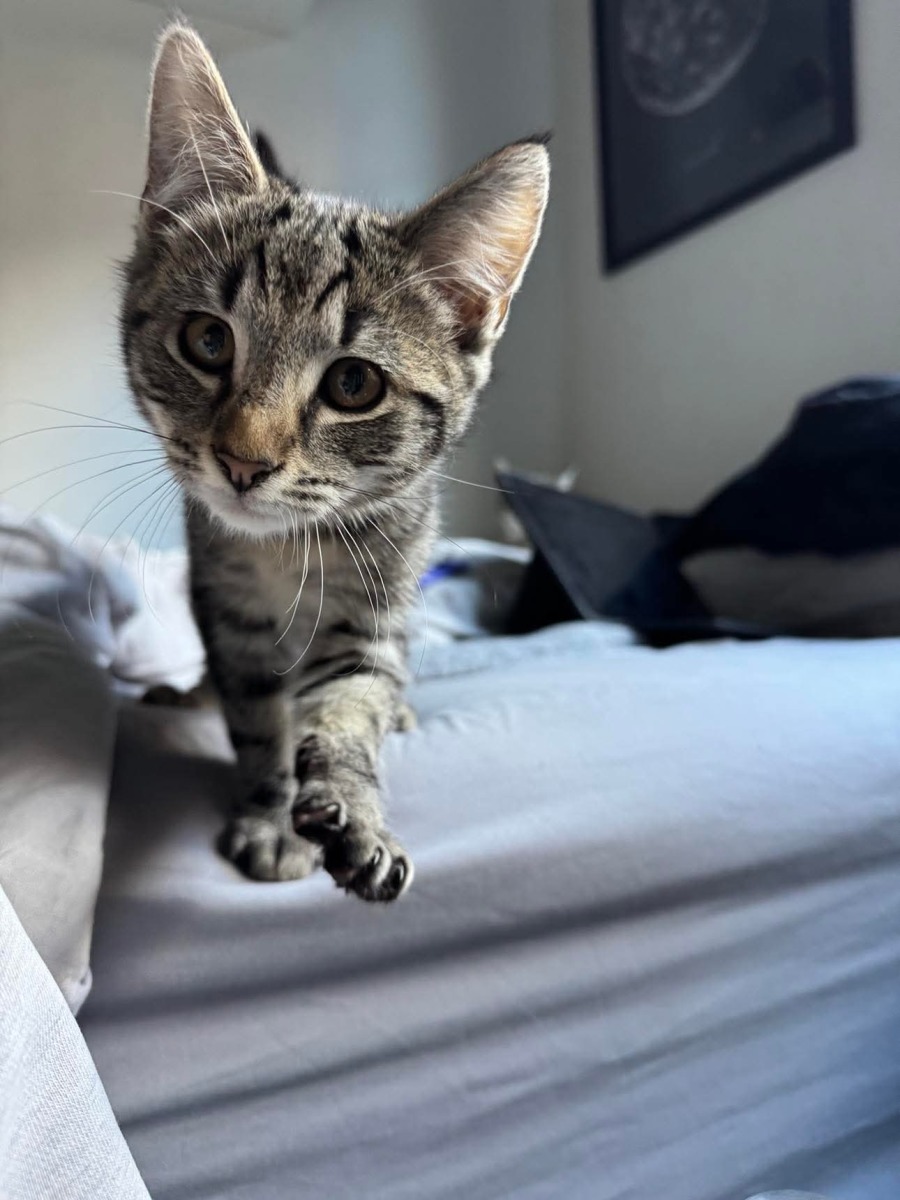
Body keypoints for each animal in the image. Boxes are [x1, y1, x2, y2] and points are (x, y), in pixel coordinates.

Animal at [121, 21, 549, 902]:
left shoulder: (375, 599)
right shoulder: (225, 602)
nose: (243, 462)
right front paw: (268, 812)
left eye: (354, 384)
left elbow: (351, 699)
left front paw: (353, 811)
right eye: (207, 340)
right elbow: (256, 715)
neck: (287, 548)